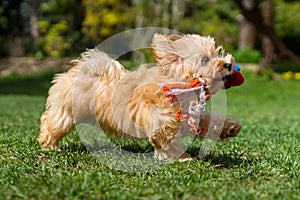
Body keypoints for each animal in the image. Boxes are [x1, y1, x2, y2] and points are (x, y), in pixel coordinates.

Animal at [38, 32, 244, 161]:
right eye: (205, 59)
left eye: (218, 53)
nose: (228, 64)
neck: (174, 82)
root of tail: (78, 69)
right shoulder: (160, 117)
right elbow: (166, 135)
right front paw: (182, 157)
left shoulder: (189, 116)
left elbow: (208, 120)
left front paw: (230, 128)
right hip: (67, 112)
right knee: (52, 123)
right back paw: (49, 145)